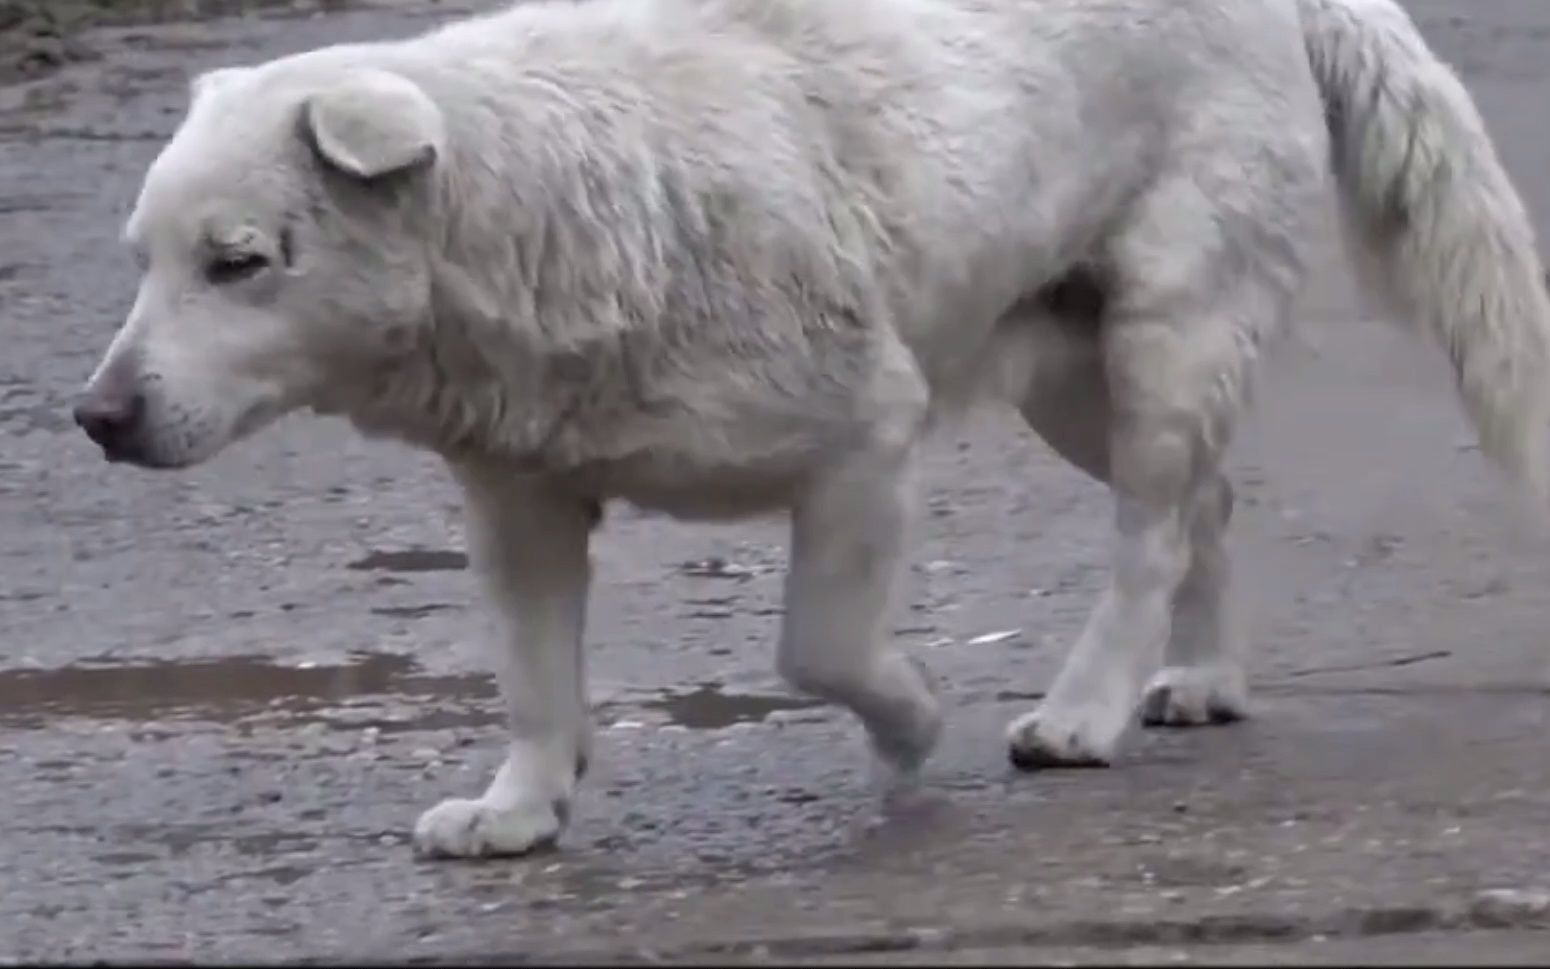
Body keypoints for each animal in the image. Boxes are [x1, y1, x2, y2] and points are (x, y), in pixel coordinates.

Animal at [69, 0, 1550, 855]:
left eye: (239, 263)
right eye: (141, 261)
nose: (95, 416)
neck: (545, 202)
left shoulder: (860, 445)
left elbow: (818, 647)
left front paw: (909, 728)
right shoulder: (520, 501)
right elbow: (534, 676)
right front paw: (522, 806)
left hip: (1164, 327)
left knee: (1147, 531)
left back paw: (1082, 710)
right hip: (1067, 374)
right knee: (1202, 506)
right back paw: (1200, 678)